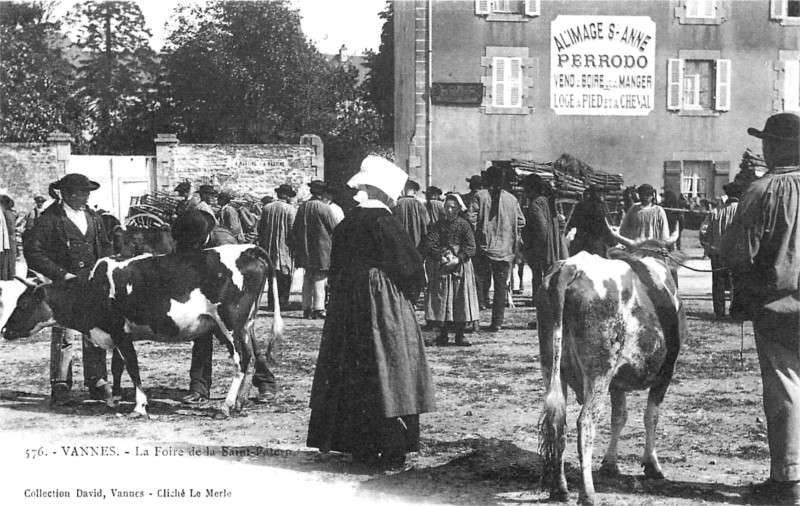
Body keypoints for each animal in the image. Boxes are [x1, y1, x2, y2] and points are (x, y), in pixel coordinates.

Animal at [2, 243, 284, 418]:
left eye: (23, 303)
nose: (4, 330)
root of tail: (248, 249)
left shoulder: (119, 331)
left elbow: (132, 368)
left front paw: (139, 406)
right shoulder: (118, 334)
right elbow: (117, 367)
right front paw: (114, 398)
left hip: (230, 324)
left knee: (241, 360)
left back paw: (226, 406)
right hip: (243, 325)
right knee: (251, 358)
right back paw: (239, 403)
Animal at [536, 247, 684, 504]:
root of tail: (571, 268)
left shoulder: (617, 384)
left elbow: (619, 417)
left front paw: (610, 463)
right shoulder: (666, 371)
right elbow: (651, 416)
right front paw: (652, 465)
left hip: (551, 366)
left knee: (558, 422)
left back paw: (560, 488)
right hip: (598, 373)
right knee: (585, 423)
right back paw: (587, 493)